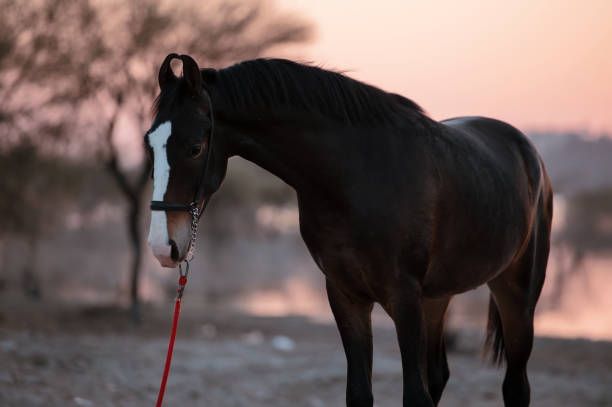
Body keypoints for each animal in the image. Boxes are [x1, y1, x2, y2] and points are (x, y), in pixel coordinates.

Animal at [146, 54, 552, 407]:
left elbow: (414, 396)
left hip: (515, 295)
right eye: (150, 144)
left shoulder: (404, 298)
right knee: (439, 374)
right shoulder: (346, 295)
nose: (162, 247)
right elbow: (359, 394)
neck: (356, 176)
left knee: (516, 386)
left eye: (195, 147)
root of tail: (528, 151)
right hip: (438, 296)